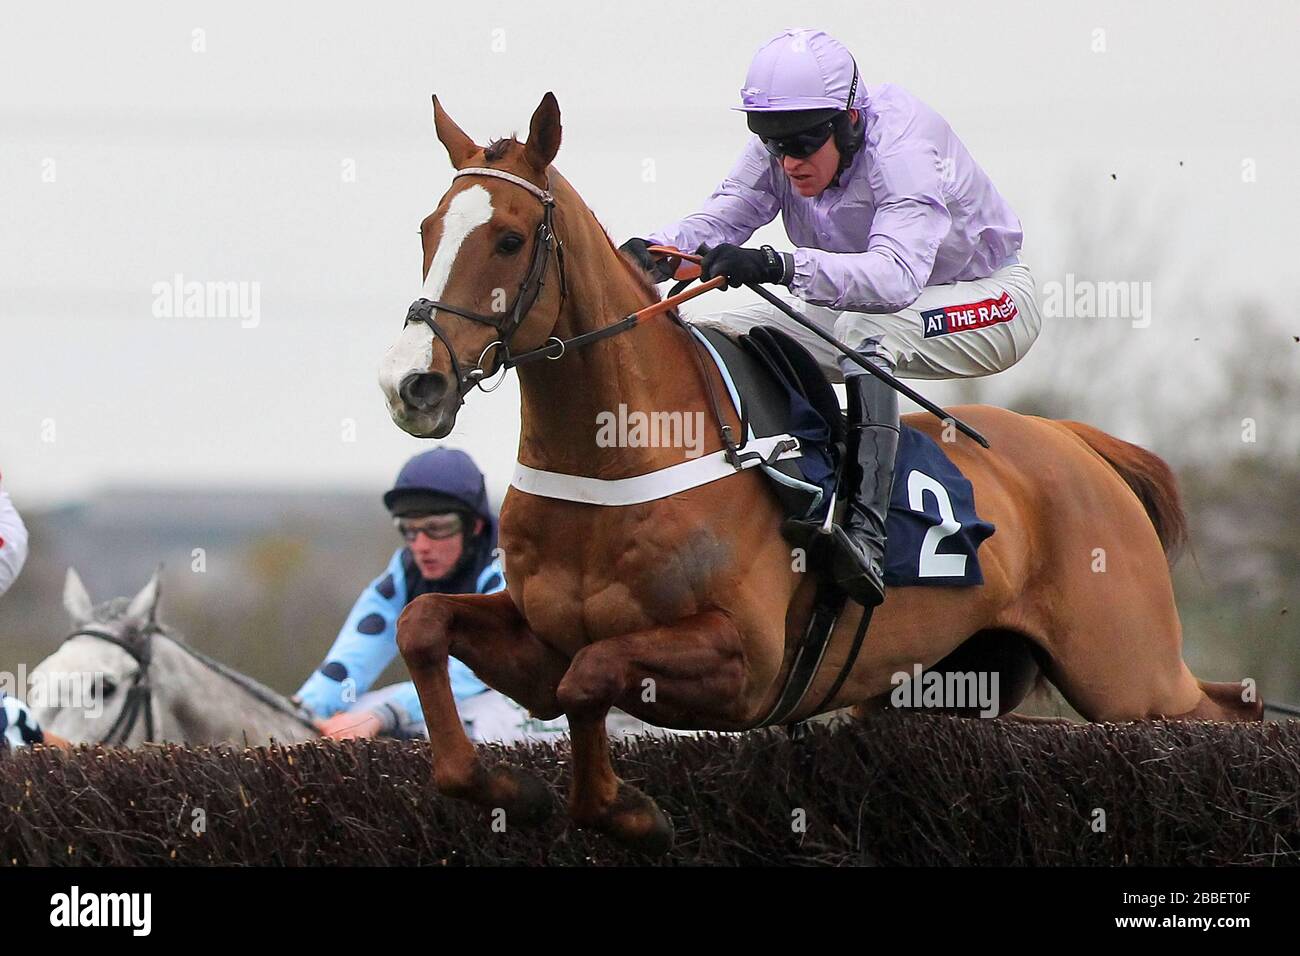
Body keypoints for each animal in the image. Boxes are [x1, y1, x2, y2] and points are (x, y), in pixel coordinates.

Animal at [379, 93, 1258, 858]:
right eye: (425, 230)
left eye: (509, 240)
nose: (410, 385)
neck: (619, 456)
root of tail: (1076, 445)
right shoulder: (542, 645)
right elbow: (432, 629)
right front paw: (517, 791)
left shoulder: (744, 658)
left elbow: (592, 675)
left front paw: (628, 813)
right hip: (946, 685)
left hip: (1129, 672)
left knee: (1220, 715)